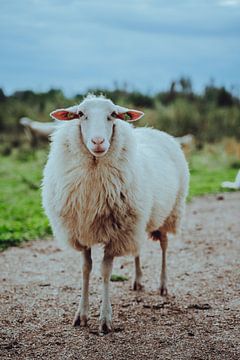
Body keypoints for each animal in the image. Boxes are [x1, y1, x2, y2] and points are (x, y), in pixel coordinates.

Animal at [42, 94, 189, 334]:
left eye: (112, 115)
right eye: (80, 114)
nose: (98, 142)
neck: (94, 170)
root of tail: (155, 131)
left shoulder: (115, 233)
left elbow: (105, 271)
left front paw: (105, 319)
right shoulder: (83, 230)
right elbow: (86, 269)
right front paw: (81, 315)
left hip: (169, 213)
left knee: (164, 247)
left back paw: (163, 285)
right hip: (138, 219)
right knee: (137, 248)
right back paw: (138, 281)